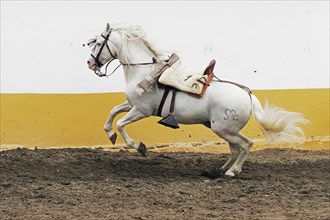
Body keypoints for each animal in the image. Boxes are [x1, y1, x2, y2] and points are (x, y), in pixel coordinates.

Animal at [85, 23, 310, 176]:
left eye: (99, 43)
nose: (89, 63)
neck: (145, 71)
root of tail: (247, 93)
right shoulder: (132, 105)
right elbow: (113, 112)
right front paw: (110, 134)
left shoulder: (141, 110)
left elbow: (121, 124)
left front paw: (139, 146)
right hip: (224, 129)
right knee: (235, 148)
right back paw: (220, 169)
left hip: (224, 129)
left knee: (246, 145)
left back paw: (232, 171)